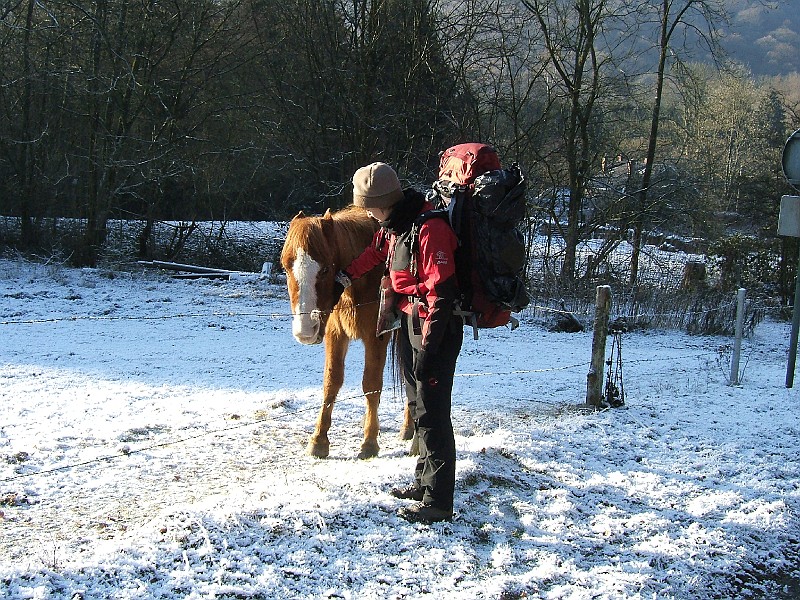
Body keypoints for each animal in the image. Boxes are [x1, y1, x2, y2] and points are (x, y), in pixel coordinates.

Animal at [280, 206, 412, 460]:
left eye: (325, 269)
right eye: (286, 267)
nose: (305, 330)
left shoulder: (376, 338)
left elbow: (371, 385)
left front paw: (369, 442)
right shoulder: (335, 335)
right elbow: (331, 383)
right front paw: (319, 440)